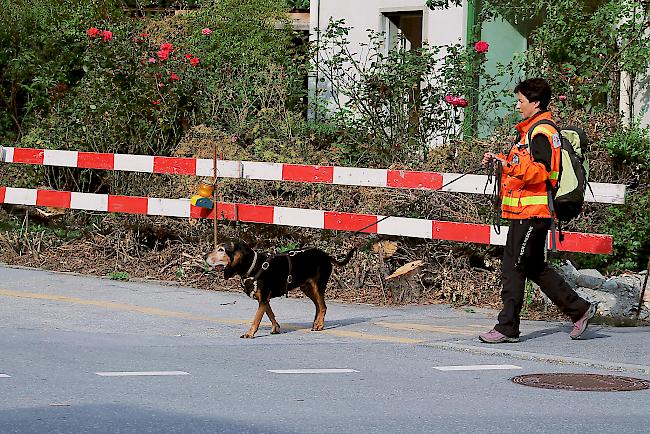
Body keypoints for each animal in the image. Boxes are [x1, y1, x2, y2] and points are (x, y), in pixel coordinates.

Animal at [205, 241, 354, 340]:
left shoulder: (263, 299)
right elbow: (270, 314)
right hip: (307, 288)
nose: (204, 256)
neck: (254, 266)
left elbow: (256, 319)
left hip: (318, 286)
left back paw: (319, 325)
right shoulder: (264, 299)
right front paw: (276, 328)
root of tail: (325, 255)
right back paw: (315, 323)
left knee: (323, 307)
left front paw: (250, 334)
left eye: (221, 250)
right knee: (318, 306)